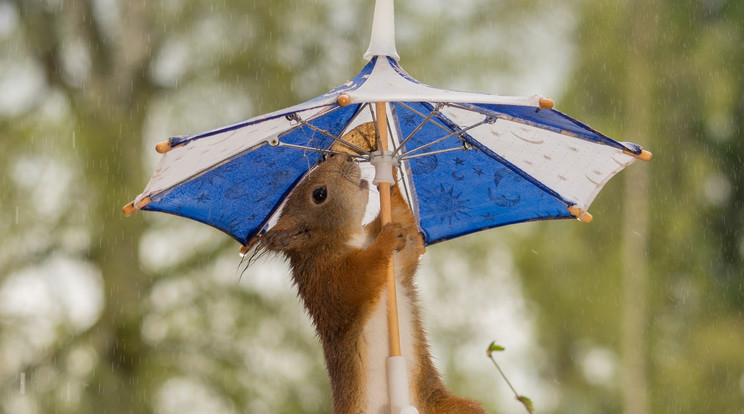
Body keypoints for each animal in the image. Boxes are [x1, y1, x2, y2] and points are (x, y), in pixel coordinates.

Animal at [254, 123, 488, 414]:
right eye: (319, 194)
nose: (346, 157)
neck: (352, 238)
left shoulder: (399, 259)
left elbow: (405, 225)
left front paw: (381, 153)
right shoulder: (326, 281)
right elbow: (357, 280)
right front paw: (384, 241)